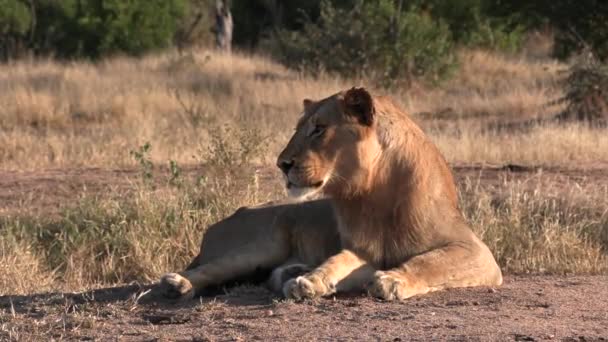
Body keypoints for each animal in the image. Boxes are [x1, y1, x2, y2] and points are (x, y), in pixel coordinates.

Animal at [276, 87, 504, 300]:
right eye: (297, 129)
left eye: (319, 129)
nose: (281, 164)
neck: (375, 194)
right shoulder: (366, 254)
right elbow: (336, 260)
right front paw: (307, 281)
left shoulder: (475, 249)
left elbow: (430, 262)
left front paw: (393, 279)